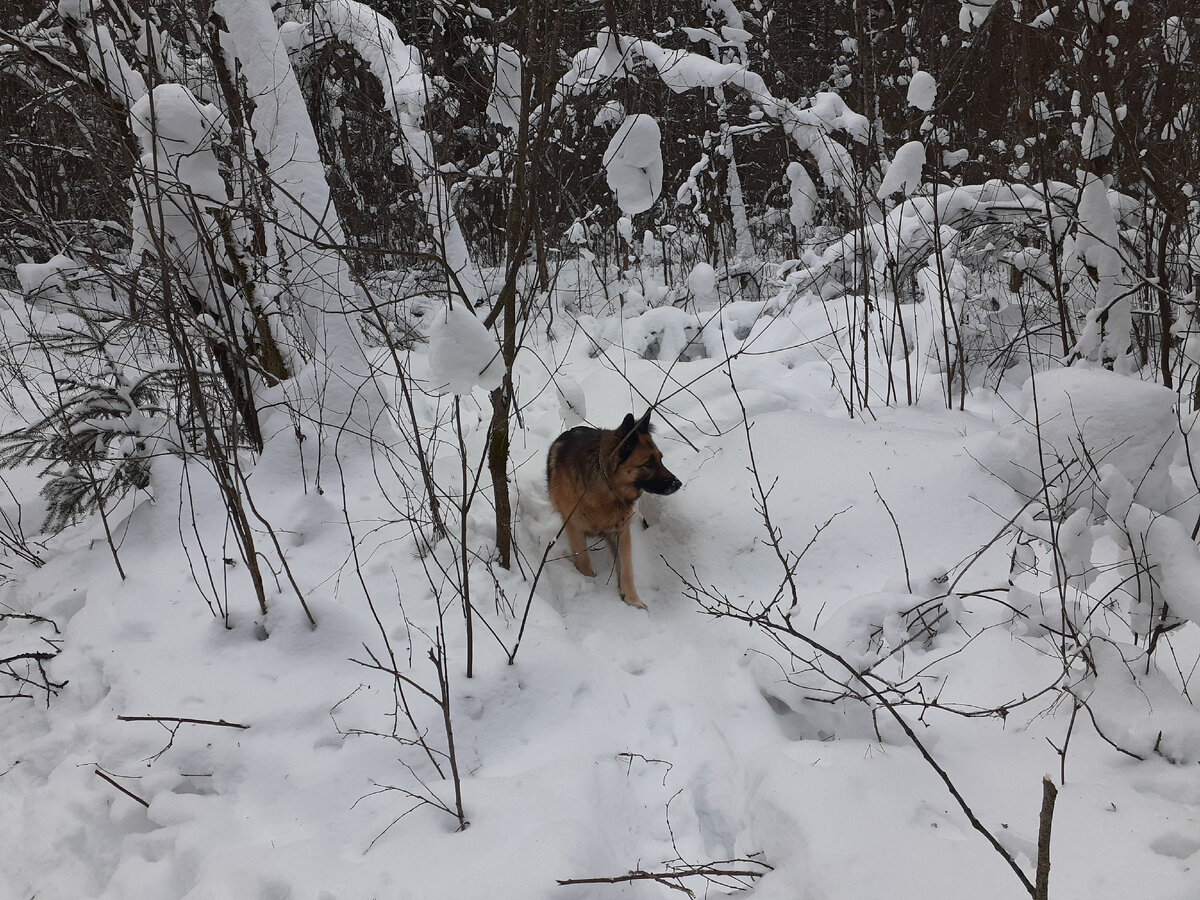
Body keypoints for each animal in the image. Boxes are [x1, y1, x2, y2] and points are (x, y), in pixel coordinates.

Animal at [547, 410, 681, 609]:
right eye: (648, 464)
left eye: (660, 459)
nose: (677, 484)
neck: (606, 487)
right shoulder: (574, 527)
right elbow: (583, 560)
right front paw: (589, 580)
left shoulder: (620, 531)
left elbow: (626, 566)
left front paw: (632, 599)